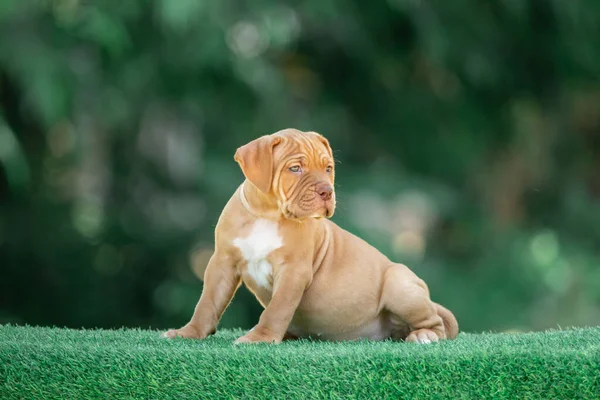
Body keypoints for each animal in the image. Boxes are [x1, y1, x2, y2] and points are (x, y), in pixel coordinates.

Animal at [162, 128, 458, 344]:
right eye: (295, 169)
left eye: (328, 169)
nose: (327, 191)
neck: (267, 216)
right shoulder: (222, 263)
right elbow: (208, 303)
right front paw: (189, 332)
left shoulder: (293, 271)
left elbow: (276, 309)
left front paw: (261, 338)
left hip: (400, 283)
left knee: (435, 322)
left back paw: (424, 335)